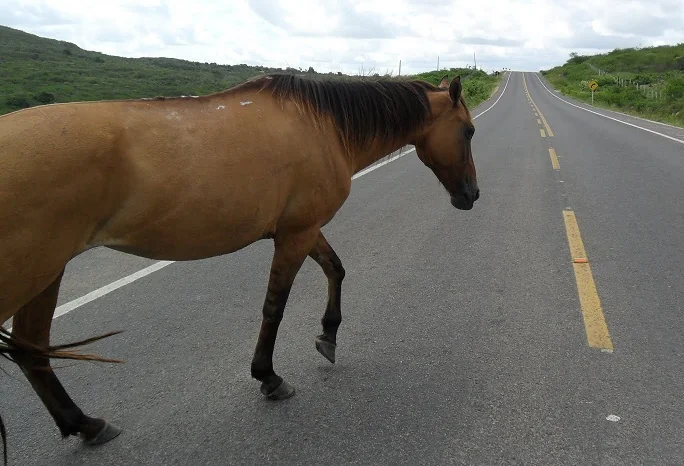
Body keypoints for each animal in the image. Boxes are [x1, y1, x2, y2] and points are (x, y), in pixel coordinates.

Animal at [0, 72, 479, 463]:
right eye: (469, 130)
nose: (471, 195)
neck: (323, 127)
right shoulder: (296, 234)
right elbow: (275, 308)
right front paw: (269, 377)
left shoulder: (301, 229)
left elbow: (336, 270)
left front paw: (328, 336)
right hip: (32, 271)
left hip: (46, 272)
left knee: (29, 348)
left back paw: (86, 425)